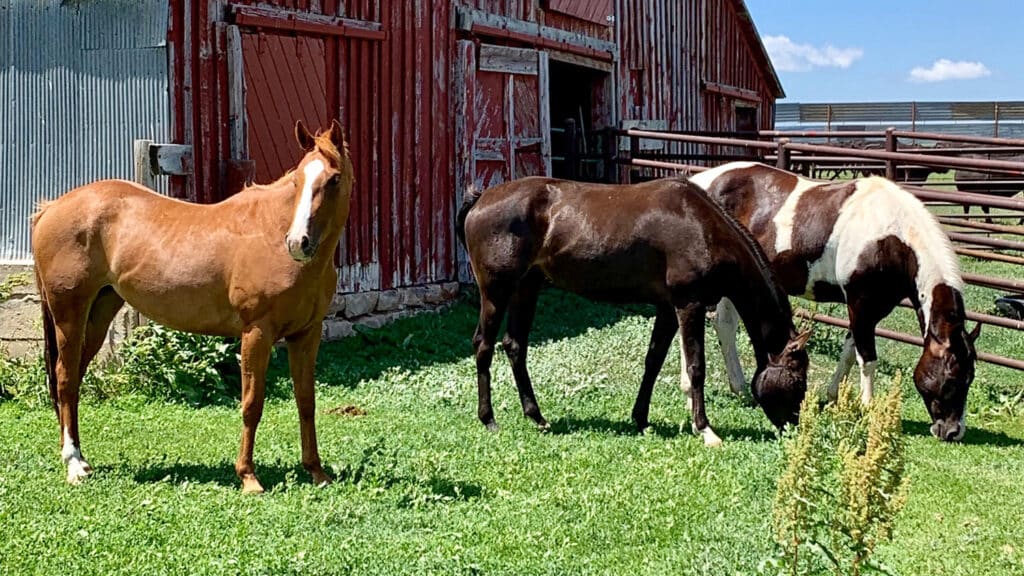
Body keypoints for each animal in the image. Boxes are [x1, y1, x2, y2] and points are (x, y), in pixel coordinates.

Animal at [31, 120, 353, 492]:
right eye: (298, 180)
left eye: (333, 179)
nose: (298, 243)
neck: (271, 237)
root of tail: (51, 208)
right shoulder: (256, 333)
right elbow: (252, 404)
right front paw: (248, 476)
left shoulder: (306, 335)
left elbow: (306, 401)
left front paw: (316, 471)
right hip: (68, 314)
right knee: (65, 378)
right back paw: (73, 464)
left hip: (99, 312)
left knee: (73, 382)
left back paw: (81, 458)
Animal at [456, 176, 812, 446]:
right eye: (798, 378)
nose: (794, 427)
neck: (703, 226)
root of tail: (481, 198)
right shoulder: (689, 304)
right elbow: (696, 367)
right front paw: (705, 429)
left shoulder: (668, 308)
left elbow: (652, 362)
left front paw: (641, 419)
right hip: (496, 291)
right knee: (483, 346)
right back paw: (489, 419)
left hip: (526, 288)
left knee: (515, 346)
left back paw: (537, 417)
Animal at [689, 161, 980, 442]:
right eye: (952, 378)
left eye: (971, 378)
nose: (953, 432)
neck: (891, 236)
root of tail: (699, 181)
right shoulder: (861, 304)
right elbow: (867, 359)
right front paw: (868, 407)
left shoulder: (869, 310)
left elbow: (850, 351)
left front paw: (832, 396)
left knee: (724, 326)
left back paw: (739, 389)